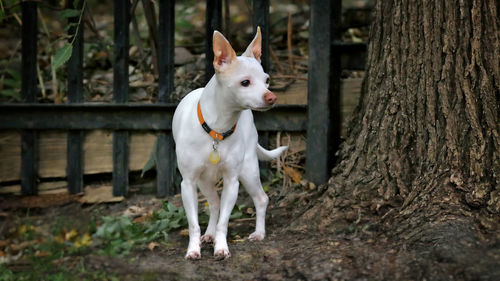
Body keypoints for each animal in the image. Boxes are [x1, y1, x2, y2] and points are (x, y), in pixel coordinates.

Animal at [172, 27, 288, 260]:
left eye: (267, 80)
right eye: (245, 82)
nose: (271, 97)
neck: (216, 130)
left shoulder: (232, 182)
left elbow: (224, 222)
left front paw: (221, 247)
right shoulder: (188, 184)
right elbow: (193, 223)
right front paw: (193, 249)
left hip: (248, 171)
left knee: (261, 199)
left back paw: (259, 233)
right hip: (204, 182)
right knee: (214, 203)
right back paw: (208, 234)